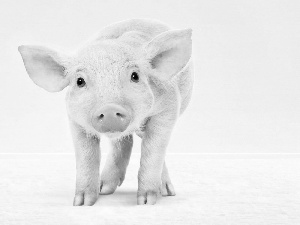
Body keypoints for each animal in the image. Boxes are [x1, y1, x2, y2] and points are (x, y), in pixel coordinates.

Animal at [18, 18, 192, 206]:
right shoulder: (75, 119)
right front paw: (82, 202)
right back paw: (105, 189)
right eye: (80, 81)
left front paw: (146, 202)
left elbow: (153, 150)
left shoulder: (169, 106)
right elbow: (86, 156)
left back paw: (167, 192)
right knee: (124, 142)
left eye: (135, 76)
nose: (109, 108)